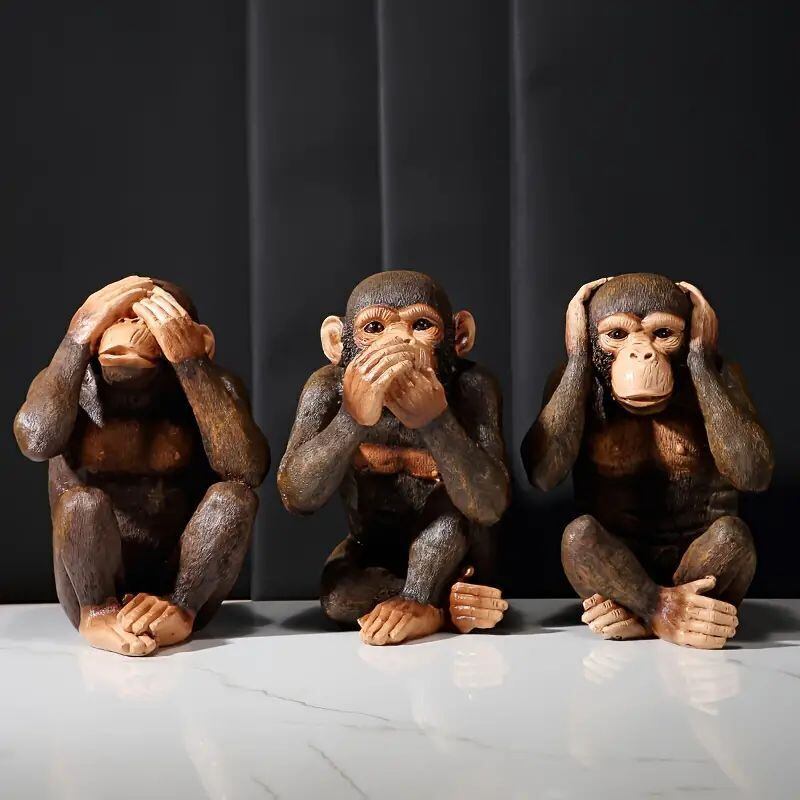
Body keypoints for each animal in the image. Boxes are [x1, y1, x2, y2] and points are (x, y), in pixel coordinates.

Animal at [14, 276, 269, 656]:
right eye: (121, 315)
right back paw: (101, 616)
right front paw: (91, 314)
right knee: (81, 501)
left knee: (233, 496)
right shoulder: (46, 379)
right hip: (71, 601)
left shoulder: (229, 383)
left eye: (140, 316)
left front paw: (177, 335)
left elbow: (248, 461)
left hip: (187, 598)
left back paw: (168, 610)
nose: (127, 322)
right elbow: (34, 431)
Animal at [278, 270, 510, 645]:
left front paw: (424, 401)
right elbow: (294, 483)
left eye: (421, 325)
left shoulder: (482, 386)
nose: (401, 340)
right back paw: (453, 604)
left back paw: (428, 606)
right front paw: (361, 397)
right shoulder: (317, 387)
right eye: (375, 328)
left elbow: (493, 492)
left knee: (457, 506)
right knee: (338, 592)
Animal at [522, 273, 773, 649]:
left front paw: (702, 332)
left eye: (663, 334)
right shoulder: (557, 377)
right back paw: (637, 615)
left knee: (731, 533)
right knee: (579, 533)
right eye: (617, 335)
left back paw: (685, 618)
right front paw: (575, 328)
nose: (642, 352)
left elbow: (754, 462)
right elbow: (542, 466)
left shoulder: (731, 374)